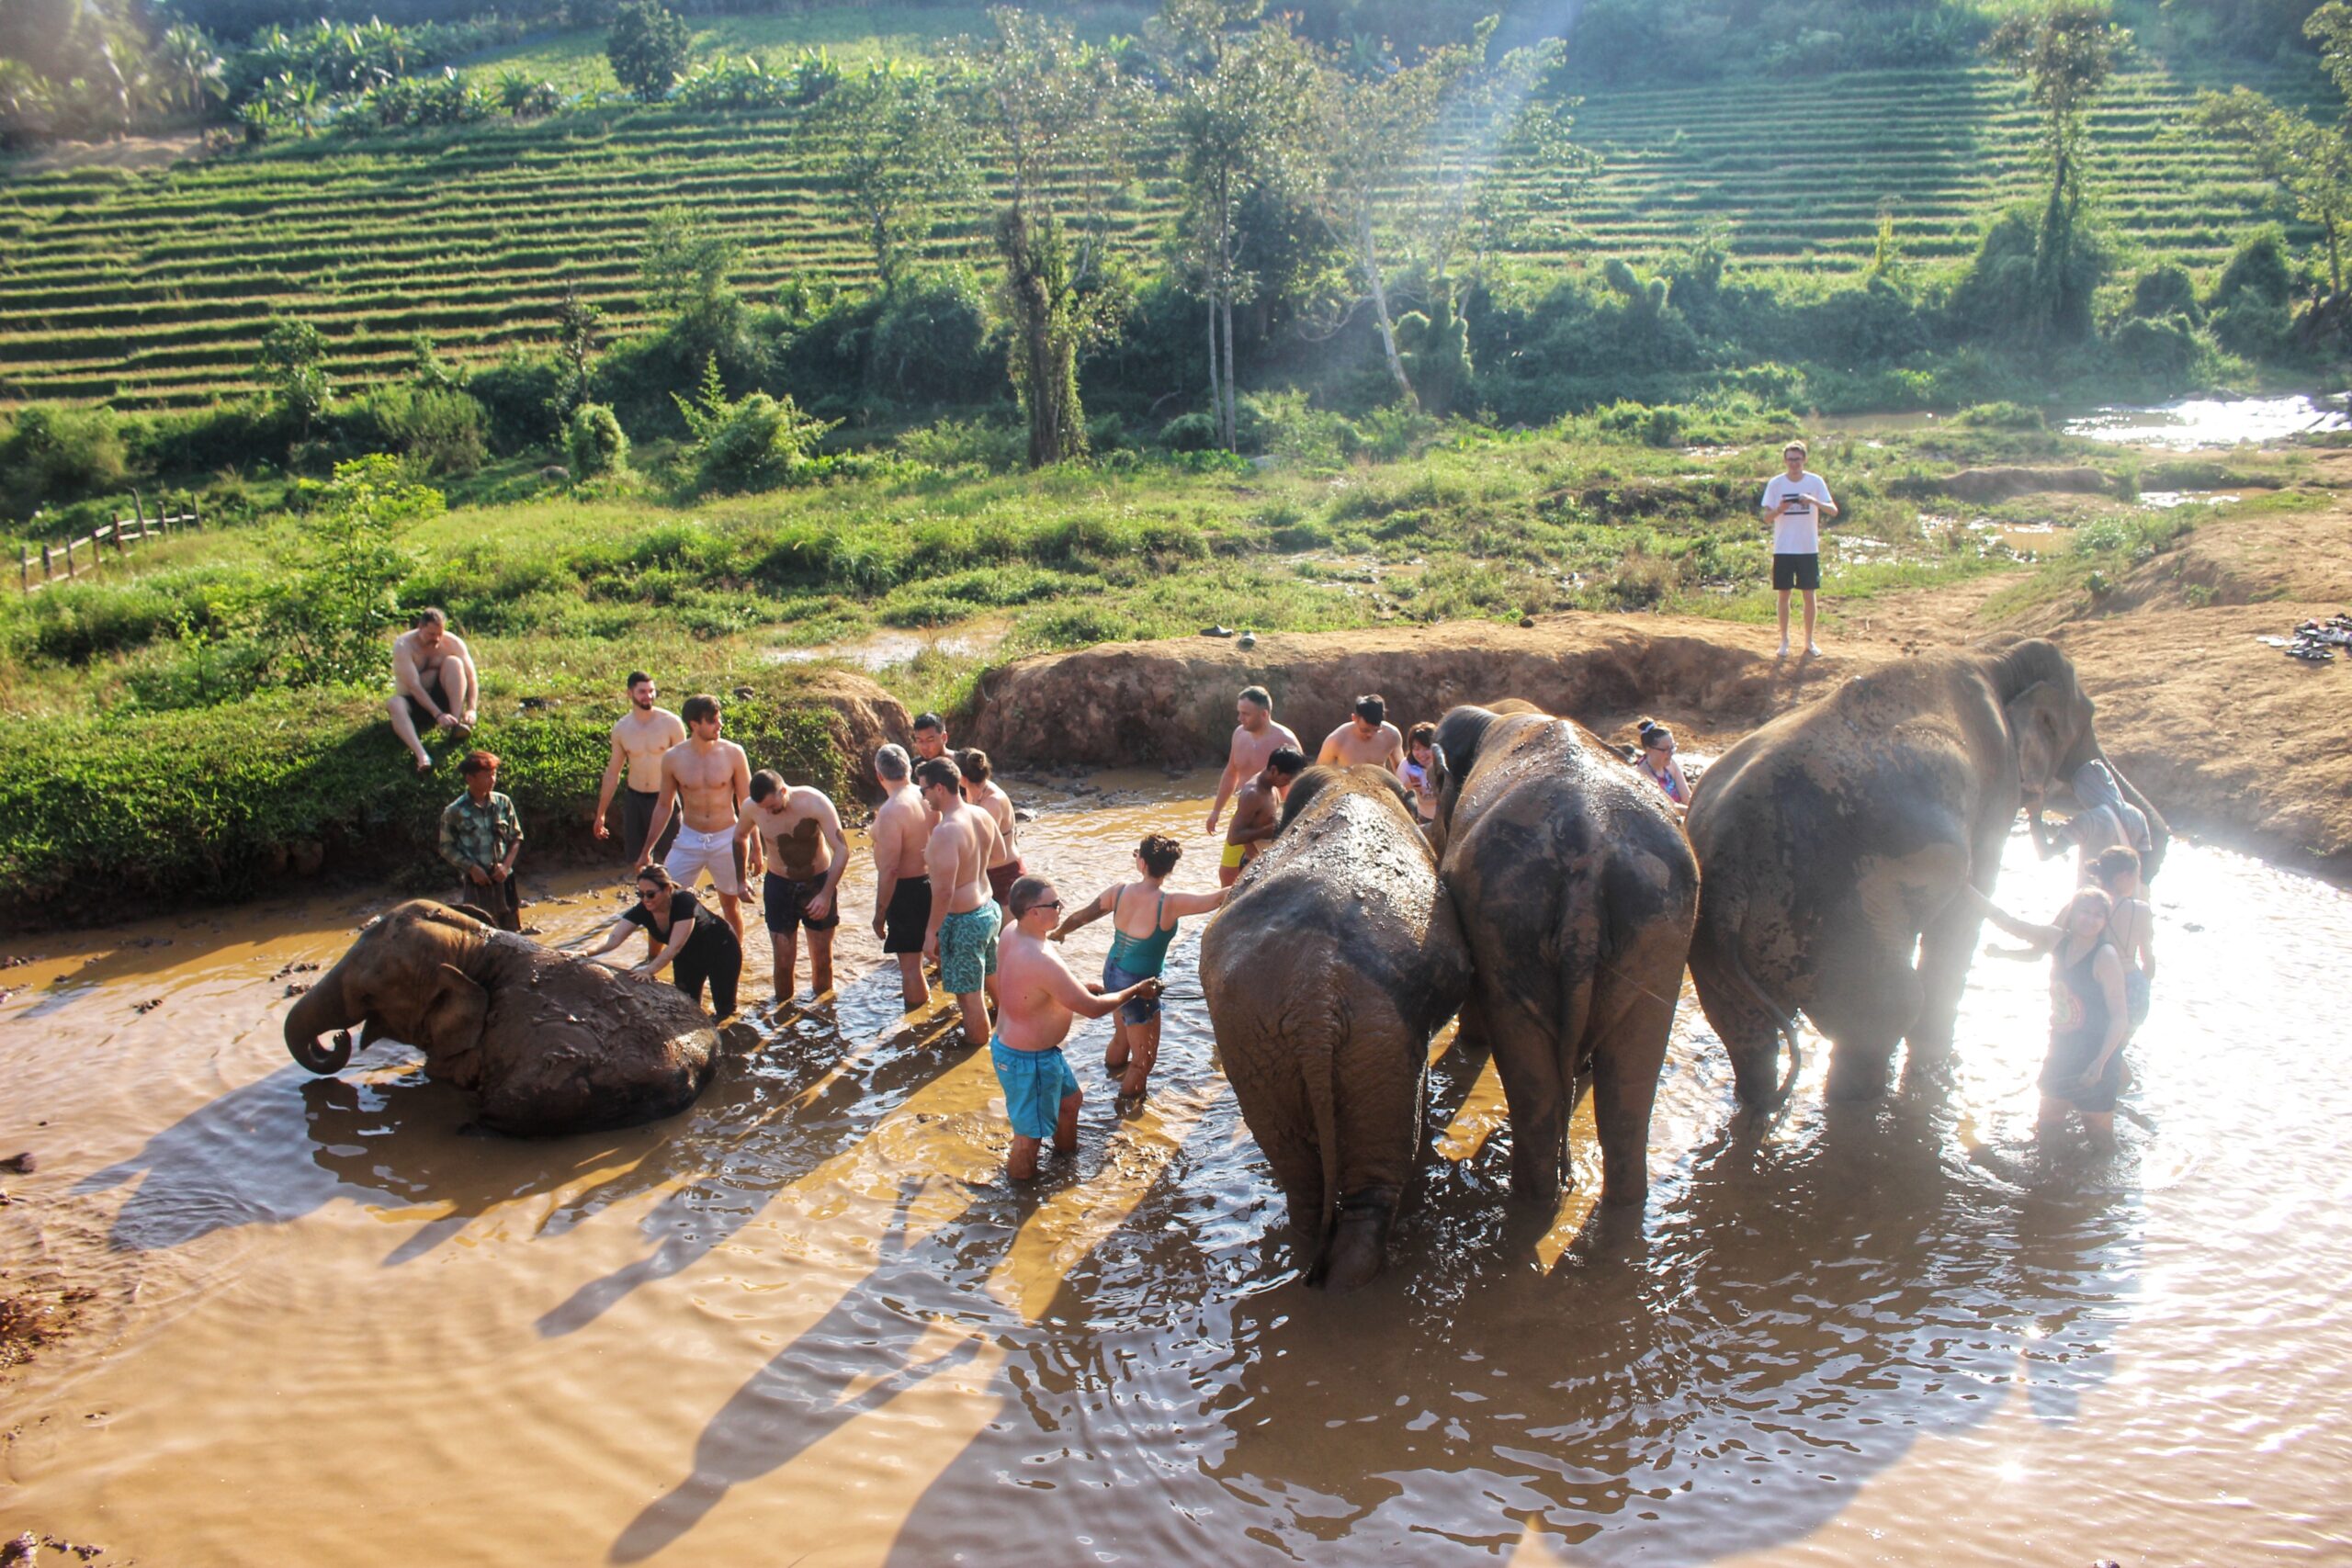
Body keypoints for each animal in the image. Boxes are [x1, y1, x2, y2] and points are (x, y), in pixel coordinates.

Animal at [1194, 761, 1467, 1288]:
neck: (1351, 780)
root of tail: (1314, 994)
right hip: (1373, 1036)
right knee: (1373, 1189)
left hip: (1258, 1038)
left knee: (1299, 1177)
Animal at [1420, 705, 1702, 1213]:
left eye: (1435, 780)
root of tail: (1587, 865)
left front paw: (1473, 1045)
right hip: (1657, 926)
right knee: (1624, 1095)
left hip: (1513, 915)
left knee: (1543, 1094)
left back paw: (1536, 1203)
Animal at [1693, 634, 2164, 1104]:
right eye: (2088, 718)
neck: (1998, 659)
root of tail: (1730, 873)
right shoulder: (1997, 788)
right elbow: (1967, 910)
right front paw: (1938, 1061)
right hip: (1839, 921)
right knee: (1886, 1012)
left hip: (1733, 947)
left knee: (1748, 1034)